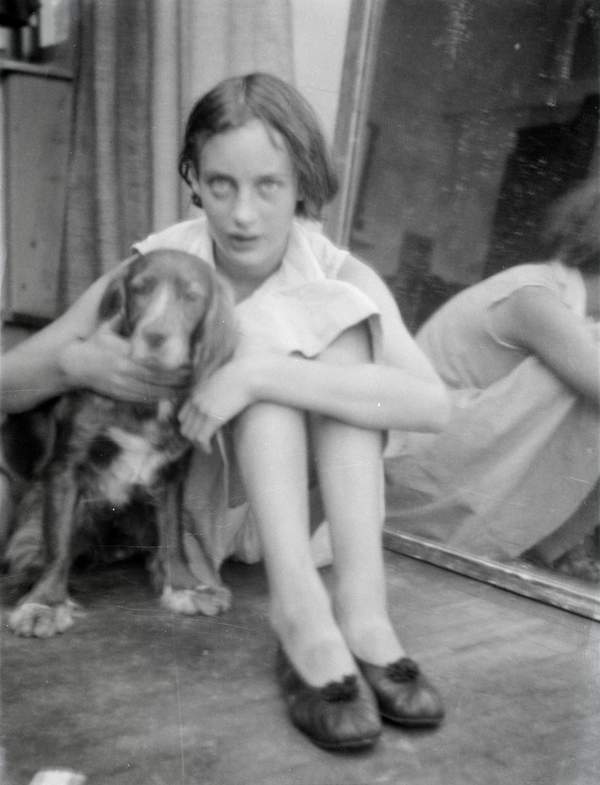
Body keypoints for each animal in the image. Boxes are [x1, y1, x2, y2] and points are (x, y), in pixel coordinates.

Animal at [2, 250, 237, 636]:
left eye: (192, 297)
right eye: (140, 289)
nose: (156, 336)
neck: (144, 404)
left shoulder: (171, 474)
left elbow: (173, 536)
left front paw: (184, 586)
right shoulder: (67, 467)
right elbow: (57, 543)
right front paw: (45, 603)